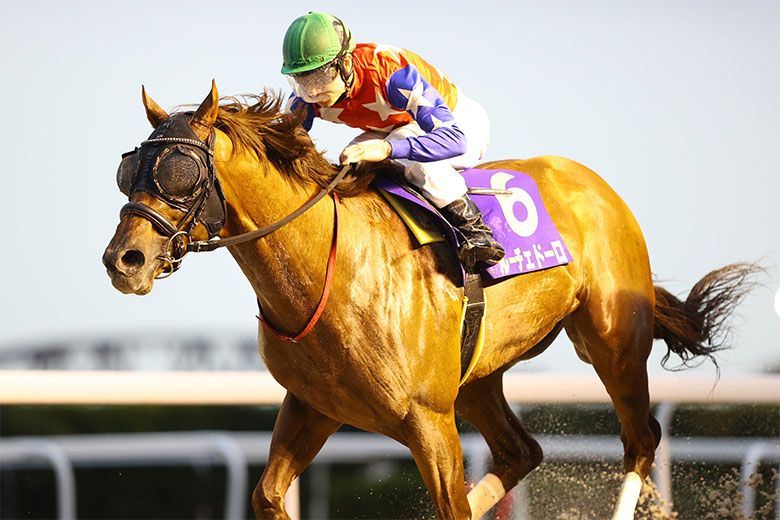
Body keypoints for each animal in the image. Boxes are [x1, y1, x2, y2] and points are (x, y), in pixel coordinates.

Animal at [103, 82, 758, 520]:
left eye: (182, 170)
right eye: (128, 168)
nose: (123, 260)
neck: (327, 269)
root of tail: (594, 184)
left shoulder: (427, 420)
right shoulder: (317, 405)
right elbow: (267, 495)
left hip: (612, 343)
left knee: (641, 440)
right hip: (477, 378)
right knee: (520, 451)